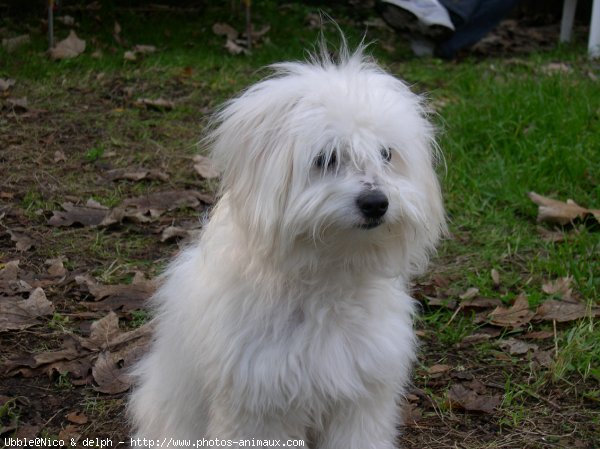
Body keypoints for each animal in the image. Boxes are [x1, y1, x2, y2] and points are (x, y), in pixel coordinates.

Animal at [127, 43, 446, 448]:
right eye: (326, 158)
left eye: (386, 154)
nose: (376, 203)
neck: (325, 273)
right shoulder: (259, 406)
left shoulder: (361, 399)